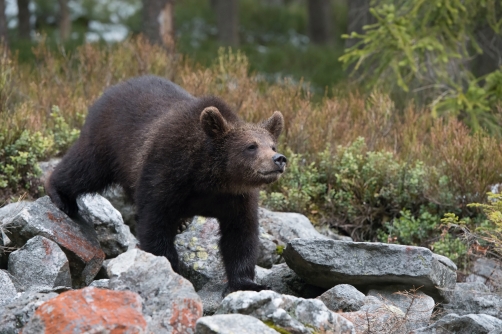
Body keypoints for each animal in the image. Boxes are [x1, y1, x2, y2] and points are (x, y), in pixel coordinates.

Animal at [46, 75, 286, 292]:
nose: (279, 159)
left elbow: (241, 236)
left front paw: (248, 283)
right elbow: (155, 224)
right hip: (106, 141)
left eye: (272, 145)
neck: (211, 179)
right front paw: (170, 268)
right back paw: (61, 196)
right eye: (251, 146)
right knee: (84, 169)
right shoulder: (165, 173)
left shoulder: (237, 198)